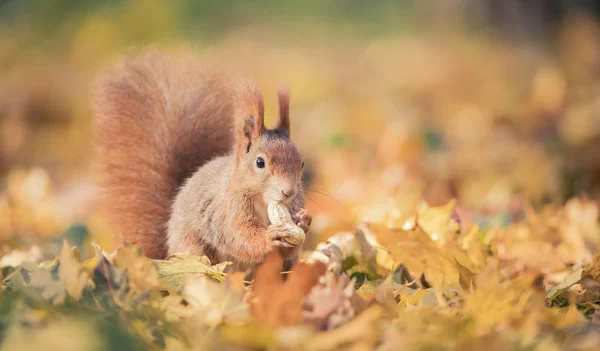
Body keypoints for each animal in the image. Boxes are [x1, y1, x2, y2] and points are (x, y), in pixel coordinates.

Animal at [94, 47, 312, 272]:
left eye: (301, 164)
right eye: (260, 163)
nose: (288, 192)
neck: (262, 201)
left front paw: (304, 221)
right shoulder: (226, 210)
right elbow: (240, 236)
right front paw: (270, 236)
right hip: (194, 250)